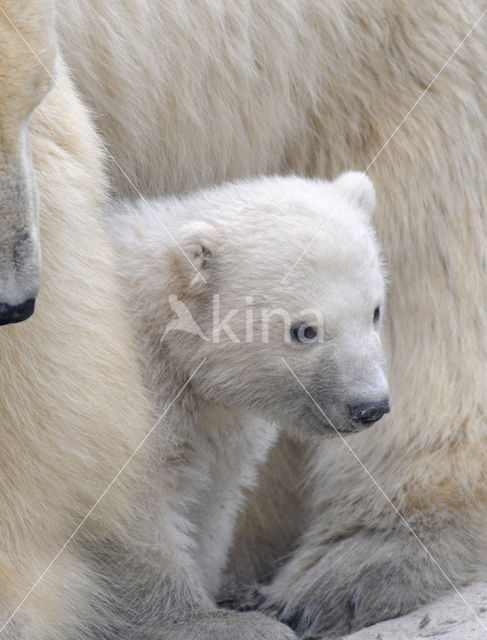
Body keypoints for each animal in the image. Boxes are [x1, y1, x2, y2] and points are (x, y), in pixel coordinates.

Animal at [54, 1, 487, 636]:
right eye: (304, 330)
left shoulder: (218, 419)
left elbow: (212, 497)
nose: (370, 406)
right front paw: (205, 619)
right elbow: (123, 507)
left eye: (375, 310)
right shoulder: (126, 388)